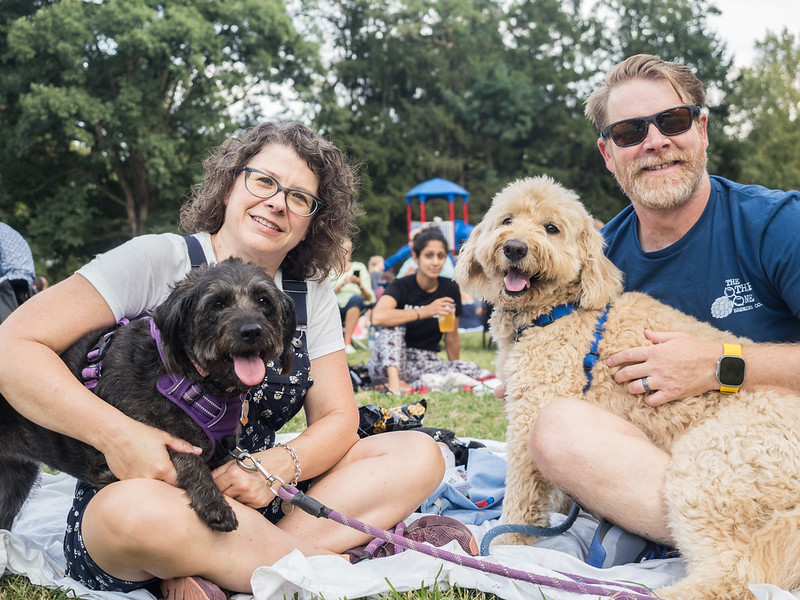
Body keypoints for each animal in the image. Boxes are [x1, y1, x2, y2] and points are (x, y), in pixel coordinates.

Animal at [0, 260, 296, 532]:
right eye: (217, 304)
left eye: (264, 300)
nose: (252, 330)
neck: (191, 380)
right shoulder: (139, 445)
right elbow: (185, 456)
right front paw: (213, 503)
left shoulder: (224, 452)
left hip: (14, 482)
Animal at [454, 176, 800, 596]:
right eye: (507, 220)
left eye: (551, 228)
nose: (515, 247)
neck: (556, 313)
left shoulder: (529, 417)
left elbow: (521, 496)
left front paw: (506, 546)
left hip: (706, 473)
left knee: (735, 576)